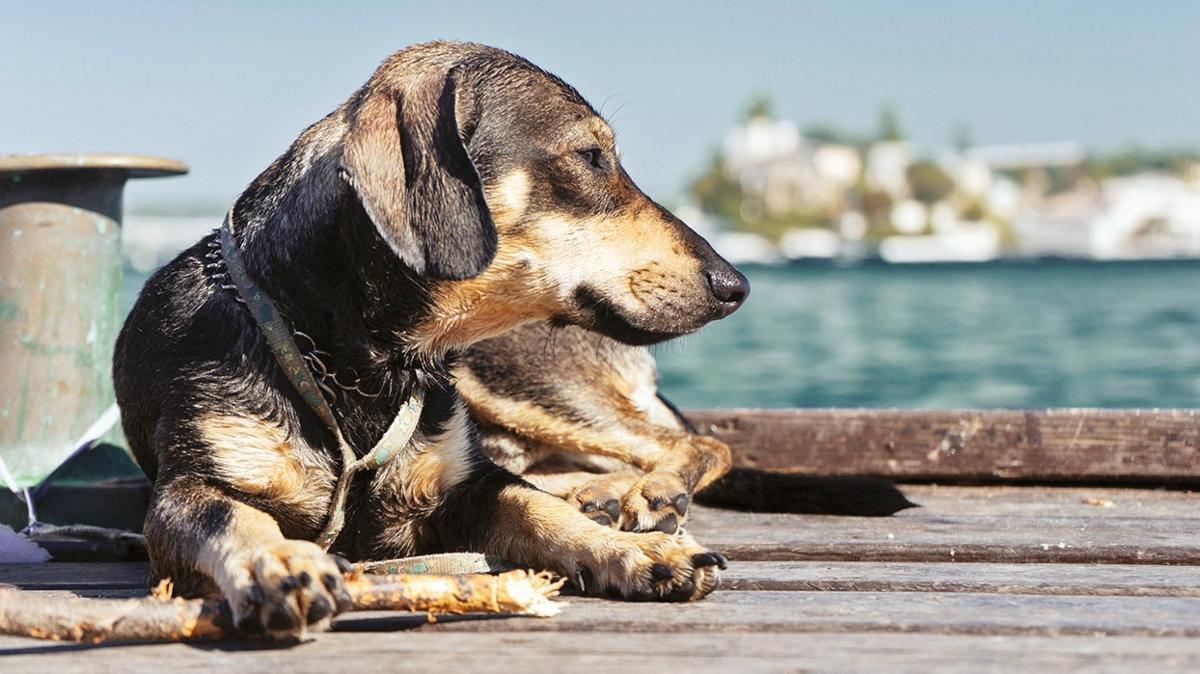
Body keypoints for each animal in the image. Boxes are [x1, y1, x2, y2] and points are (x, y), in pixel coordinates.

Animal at [114, 40, 907, 633]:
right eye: (591, 158)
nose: (735, 283)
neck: (361, 366)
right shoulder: (185, 495)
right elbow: (235, 518)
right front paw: (280, 562)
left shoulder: (471, 487)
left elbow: (535, 508)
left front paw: (635, 553)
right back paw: (616, 494)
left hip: (517, 382)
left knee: (693, 443)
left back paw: (640, 498)